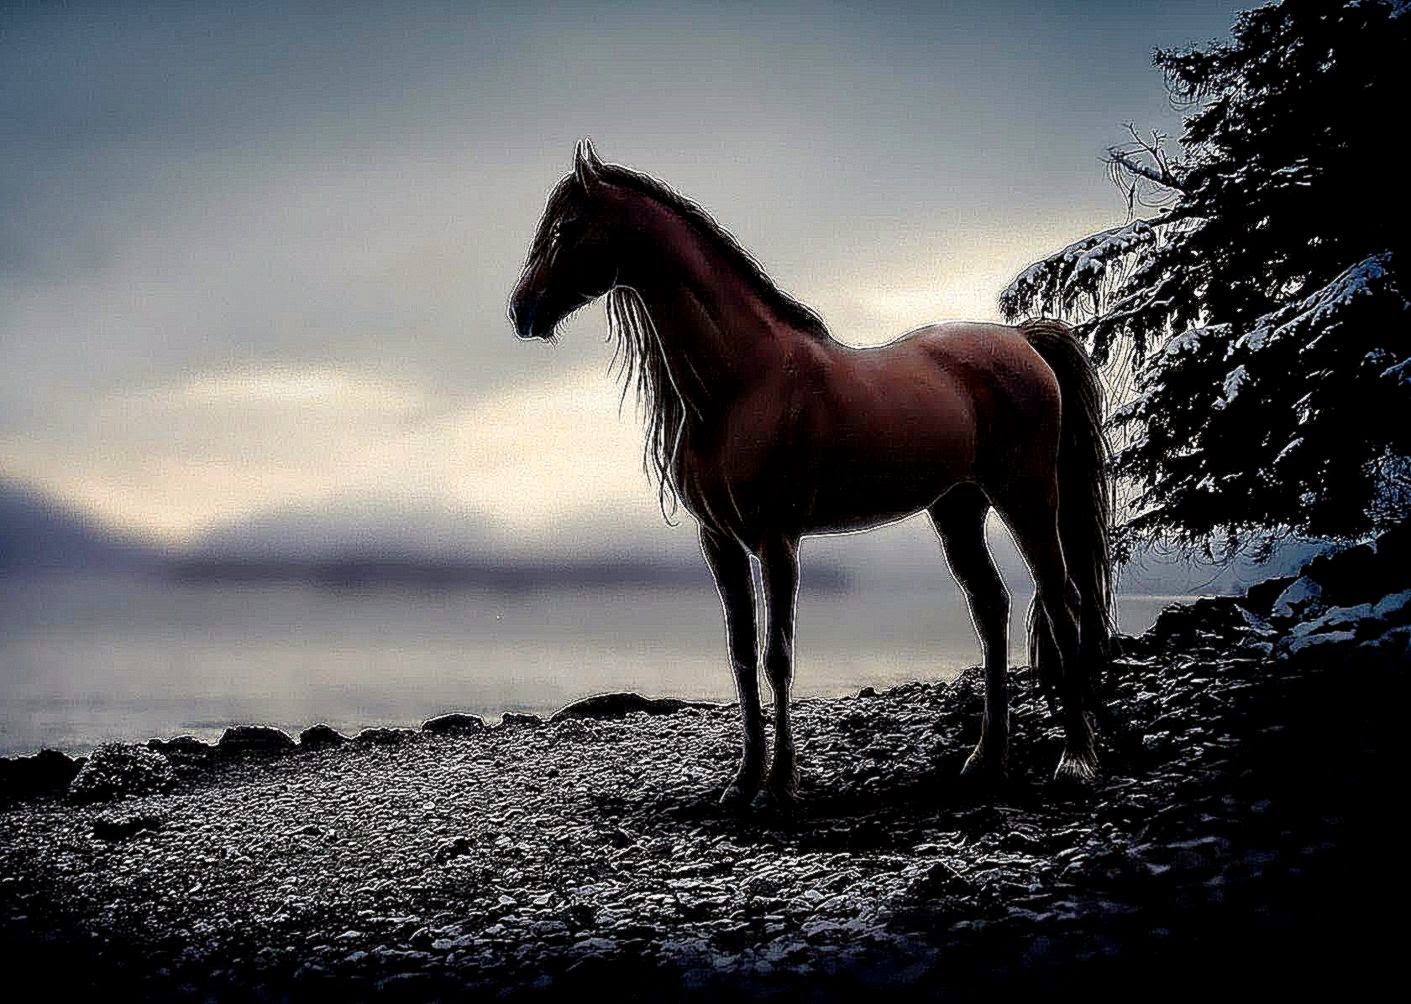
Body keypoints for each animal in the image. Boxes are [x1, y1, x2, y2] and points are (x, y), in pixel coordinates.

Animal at [507, 138, 1111, 806]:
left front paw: (780, 785)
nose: (522, 310)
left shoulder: (778, 540)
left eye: (565, 228)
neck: (744, 383)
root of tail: (1022, 342)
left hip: (1028, 497)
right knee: (992, 608)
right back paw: (987, 758)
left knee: (1062, 603)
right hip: (957, 509)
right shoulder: (719, 541)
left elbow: (778, 656)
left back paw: (1076, 759)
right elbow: (742, 654)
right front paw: (743, 781)